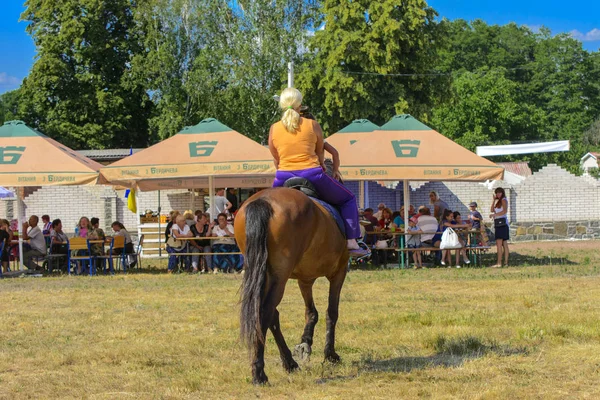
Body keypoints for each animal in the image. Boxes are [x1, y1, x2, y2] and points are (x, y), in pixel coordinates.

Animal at [233, 188, 346, 384]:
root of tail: (264, 200)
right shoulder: (339, 272)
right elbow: (332, 312)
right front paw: (330, 354)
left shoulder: (305, 278)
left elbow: (311, 312)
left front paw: (305, 342)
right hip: (279, 275)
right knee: (266, 311)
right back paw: (259, 373)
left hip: (264, 272)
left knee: (271, 314)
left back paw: (289, 362)